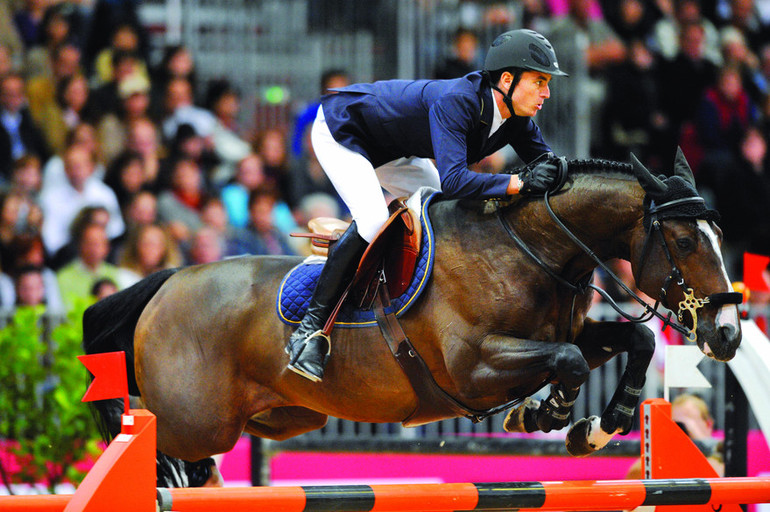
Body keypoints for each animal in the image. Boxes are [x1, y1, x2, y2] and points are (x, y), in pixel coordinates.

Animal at [82, 148, 736, 484]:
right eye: (683, 241)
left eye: (720, 236)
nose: (727, 335)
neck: (532, 249)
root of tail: (168, 282)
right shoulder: (474, 368)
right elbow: (570, 360)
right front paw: (543, 413)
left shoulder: (568, 332)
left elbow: (633, 341)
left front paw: (598, 425)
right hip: (198, 421)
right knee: (158, 446)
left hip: (280, 418)